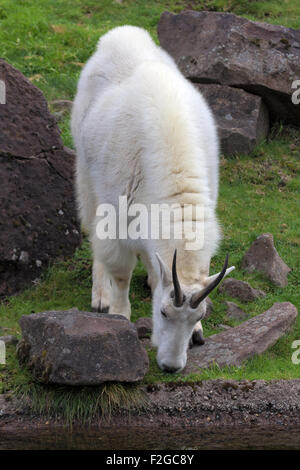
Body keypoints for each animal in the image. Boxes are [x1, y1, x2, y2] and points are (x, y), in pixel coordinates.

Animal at [72, 25, 234, 372]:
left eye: (199, 315)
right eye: (162, 312)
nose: (171, 367)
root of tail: (121, 33)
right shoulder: (117, 214)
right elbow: (120, 271)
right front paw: (119, 314)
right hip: (86, 170)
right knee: (92, 225)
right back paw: (100, 294)